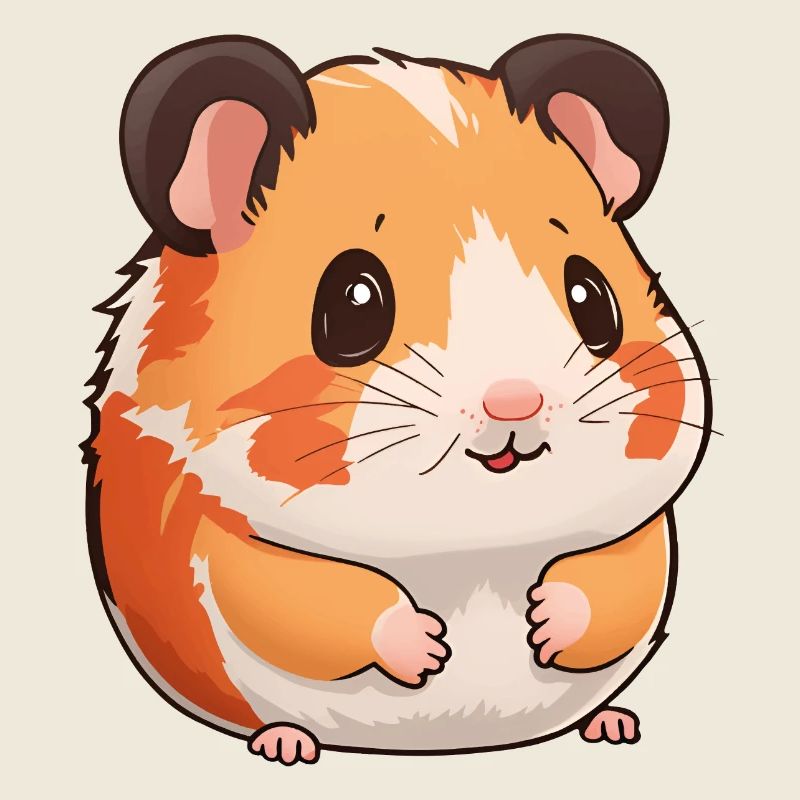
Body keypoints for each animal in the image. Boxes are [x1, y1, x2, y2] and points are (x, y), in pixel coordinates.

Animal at [84, 33, 713, 764]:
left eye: (591, 297)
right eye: (354, 302)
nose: (516, 404)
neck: (476, 545)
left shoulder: (643, 532)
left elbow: (617, 584)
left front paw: (544, 621)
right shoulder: (224, 539)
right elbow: (300, 599)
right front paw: (428, 648)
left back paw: (612, 725)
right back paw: (285, 745)